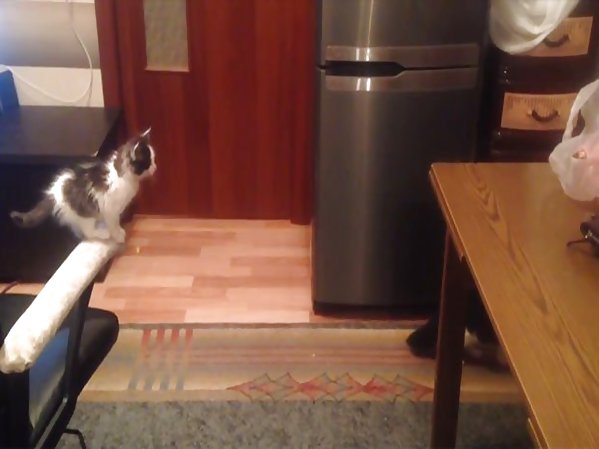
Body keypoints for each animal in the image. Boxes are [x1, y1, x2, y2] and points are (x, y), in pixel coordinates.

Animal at [10, 128, 156, 243]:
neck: (123, 176)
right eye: (148, 162)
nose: (155, 167)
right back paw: (103, 234)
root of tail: (53, 191)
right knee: (88, 232)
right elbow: (113, 223)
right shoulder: (110, 208)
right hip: (85, 213)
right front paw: (118, 235)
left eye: (153, 160)